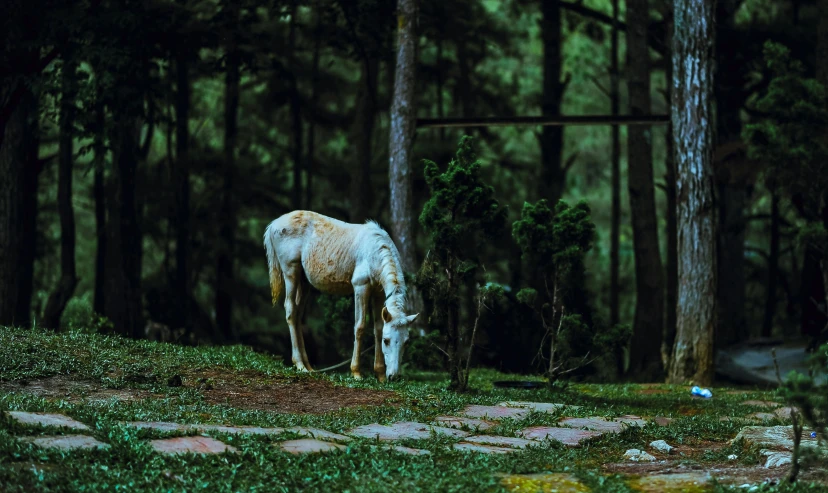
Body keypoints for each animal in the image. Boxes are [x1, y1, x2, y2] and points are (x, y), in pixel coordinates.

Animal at [264, 209, 420, 380]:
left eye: (407, 341)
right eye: (387, 341)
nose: (394, 376)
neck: (375, 253)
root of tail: (273, 224)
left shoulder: (378, 293)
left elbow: (378, 328)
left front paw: (380, 376)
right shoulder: (361, 286)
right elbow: (360, 326)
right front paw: (356, 372)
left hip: (304, 282)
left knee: (298, 315)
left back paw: (309, 367)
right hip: (290, 271)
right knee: (290, 310)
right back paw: (299, 365)